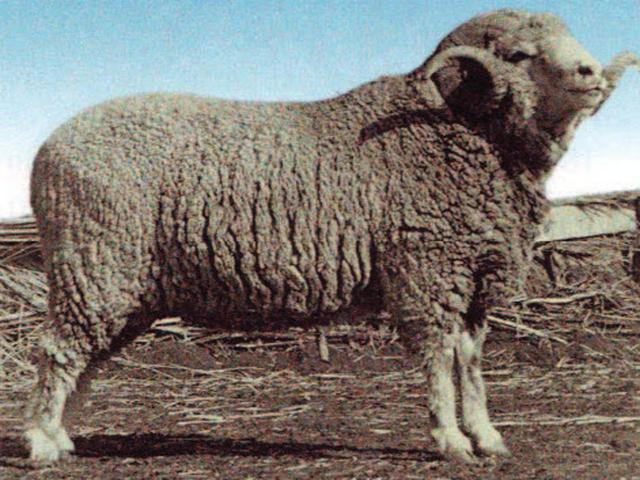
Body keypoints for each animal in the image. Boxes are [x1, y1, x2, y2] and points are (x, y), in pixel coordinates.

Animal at [24, 9, 638, 465]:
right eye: (518, 55)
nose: (590, 73)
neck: (457, 132)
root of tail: (49, 150)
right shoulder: (427, 270)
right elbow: (439, 361)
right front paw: (451, 441)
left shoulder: (473, 278)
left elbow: (470, 363)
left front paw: (487, 437)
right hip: (94, 264)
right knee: (56, 350)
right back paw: (42, 442)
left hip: (122, 286)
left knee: (84, 360)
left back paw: (67, 437)